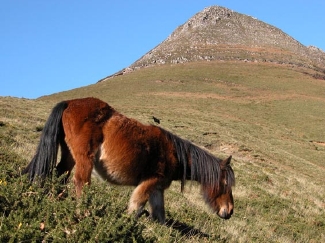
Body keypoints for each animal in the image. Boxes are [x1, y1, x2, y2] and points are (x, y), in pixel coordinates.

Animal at [24, 97, 234, 224]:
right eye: (225, 184)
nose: (229, 211)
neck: (174, 153)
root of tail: (70, 102)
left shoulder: (157, 188)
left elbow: (159, 213)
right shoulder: (149, 182)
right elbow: (136, 205)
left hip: (69, 155)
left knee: (61, 173)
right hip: (84, 159)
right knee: (81, 182)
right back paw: (83, 211)